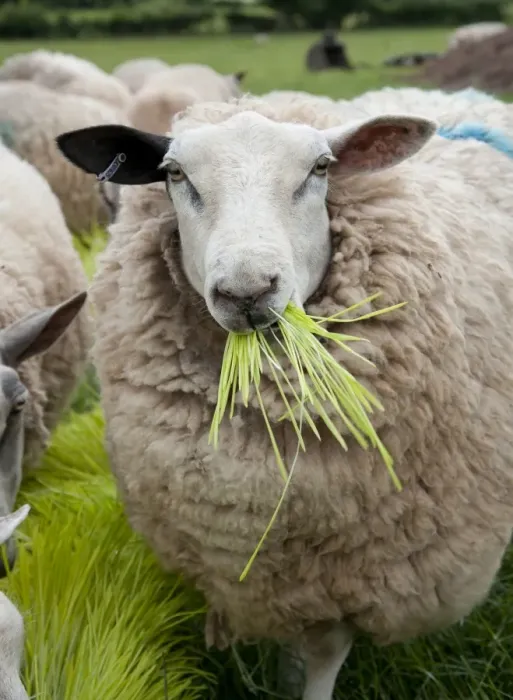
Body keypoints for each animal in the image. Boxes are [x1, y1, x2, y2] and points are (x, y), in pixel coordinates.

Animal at [56, 93, 513, 699]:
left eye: (320, 168)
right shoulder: (263, 572)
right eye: (174, 174)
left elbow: (320, 656)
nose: (247, 292)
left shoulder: (342, 576)